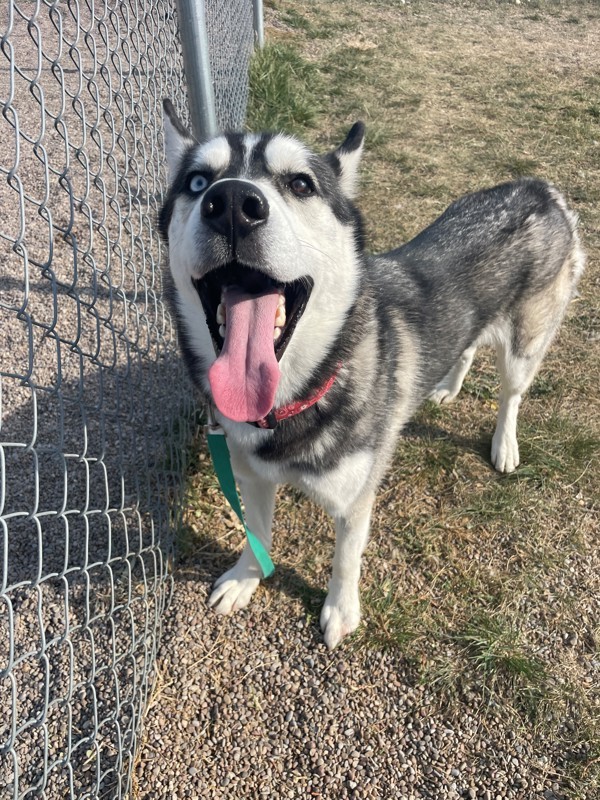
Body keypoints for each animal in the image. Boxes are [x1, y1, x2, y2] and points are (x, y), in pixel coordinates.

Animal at [161, 100, 584, 648]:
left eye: (301, 183)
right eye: (196, 182)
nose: (232, 202)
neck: (294, 400)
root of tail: (540, 189)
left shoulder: (354, 497)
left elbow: (346, 559)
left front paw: (341, 611)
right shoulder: (249, 476)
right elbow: (257, 533)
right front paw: (245, 578)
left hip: (525, 343)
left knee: (511, 394)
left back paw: (504, 445)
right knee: (466, 345)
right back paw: (445, 387)